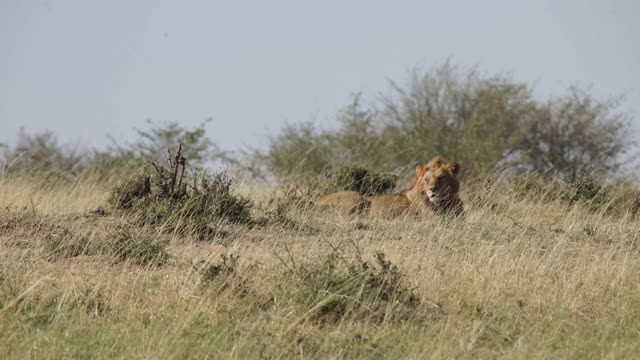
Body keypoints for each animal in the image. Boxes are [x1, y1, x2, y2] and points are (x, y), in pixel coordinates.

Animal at [316, 155, 462, 217]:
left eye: (441, 178)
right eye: (426, 179)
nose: (432, 190)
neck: (446, 203)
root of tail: (317, 201)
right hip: (355, 197)